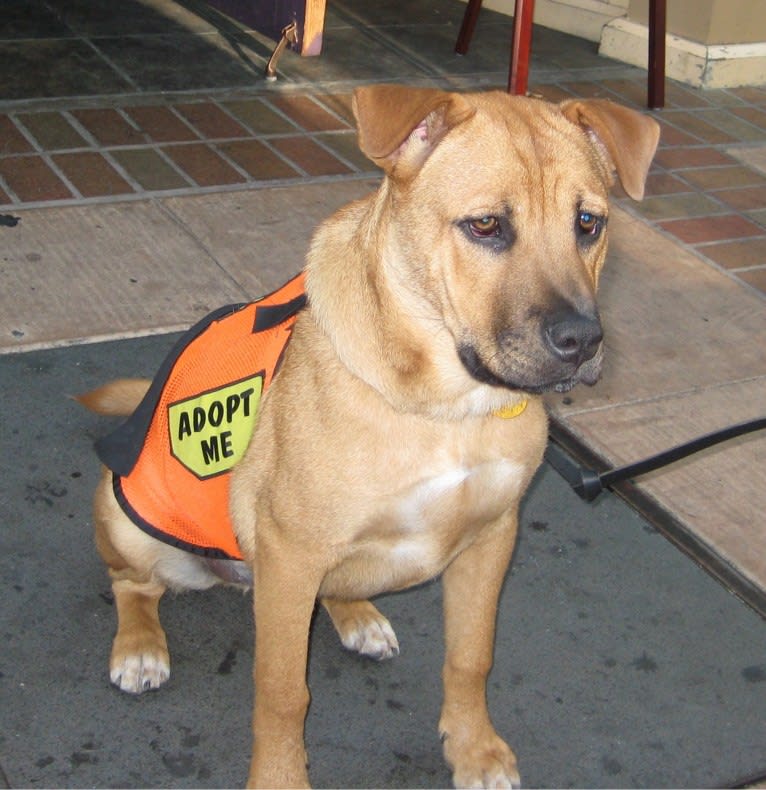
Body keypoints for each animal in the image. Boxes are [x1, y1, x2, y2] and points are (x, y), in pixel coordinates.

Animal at [82, 83, 660, 788]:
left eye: (588, 223)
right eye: (486, 226)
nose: (581, 341)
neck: (449, 408)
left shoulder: (492, 538)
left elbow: (472, 657)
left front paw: (474, 748)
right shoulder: (291, 551)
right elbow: (283, 691)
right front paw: (280, 776)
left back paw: (356, 615)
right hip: (129, 522)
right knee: (132, 585)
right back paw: (139, 646)